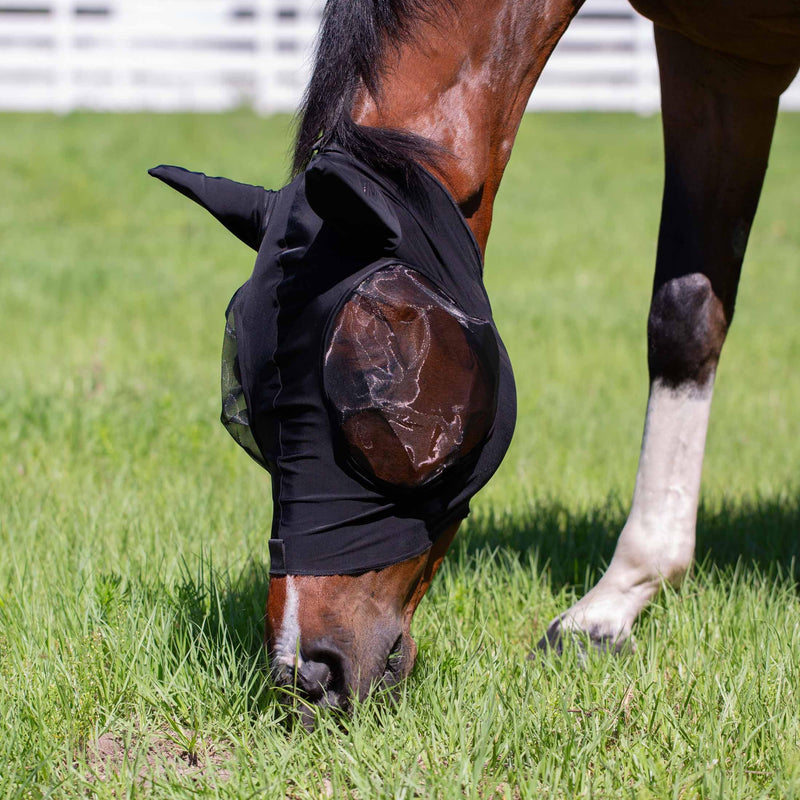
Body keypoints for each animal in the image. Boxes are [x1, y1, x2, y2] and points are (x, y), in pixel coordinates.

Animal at [154, 0, 799, 721]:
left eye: (378, 416)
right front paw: (613, 606)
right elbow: (685, 316)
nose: (307, 676)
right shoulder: (719, 59)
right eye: (253, 423)